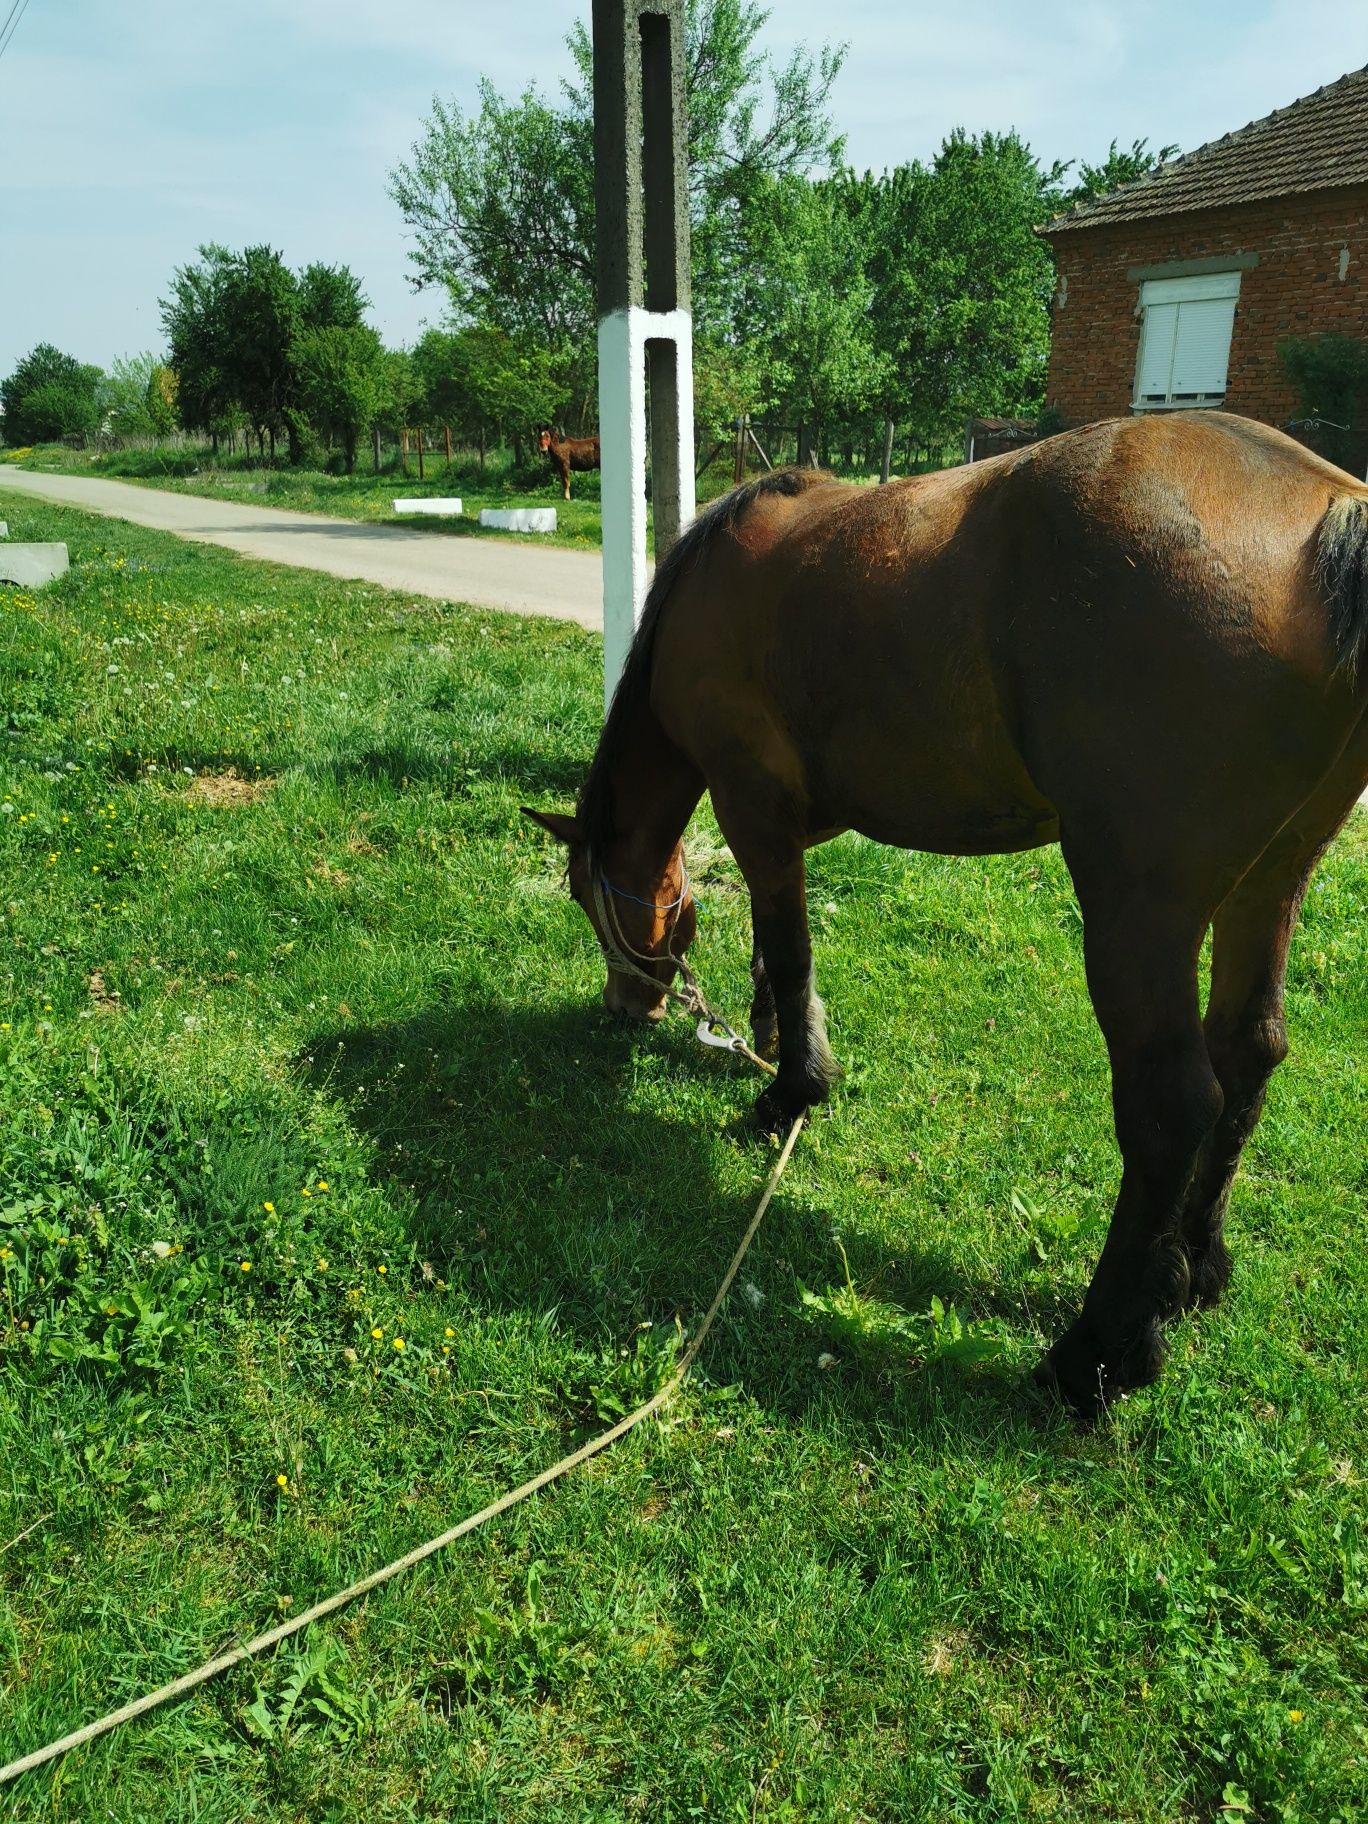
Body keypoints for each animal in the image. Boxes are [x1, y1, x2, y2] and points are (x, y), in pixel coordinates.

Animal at [528, 417, 1368, 1422]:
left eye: (584, 896)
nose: (627, 1008)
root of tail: (1325, 508)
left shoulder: (752, 809)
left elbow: (790, 950)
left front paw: (789, 1093)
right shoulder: (793, 826)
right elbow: (776, 955)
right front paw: (771, 1041)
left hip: (1141, 911)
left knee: (1173, 1106)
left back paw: (1093, 1358)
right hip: (1273, 880)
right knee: (1249, 1054)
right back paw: (1193, 1270)